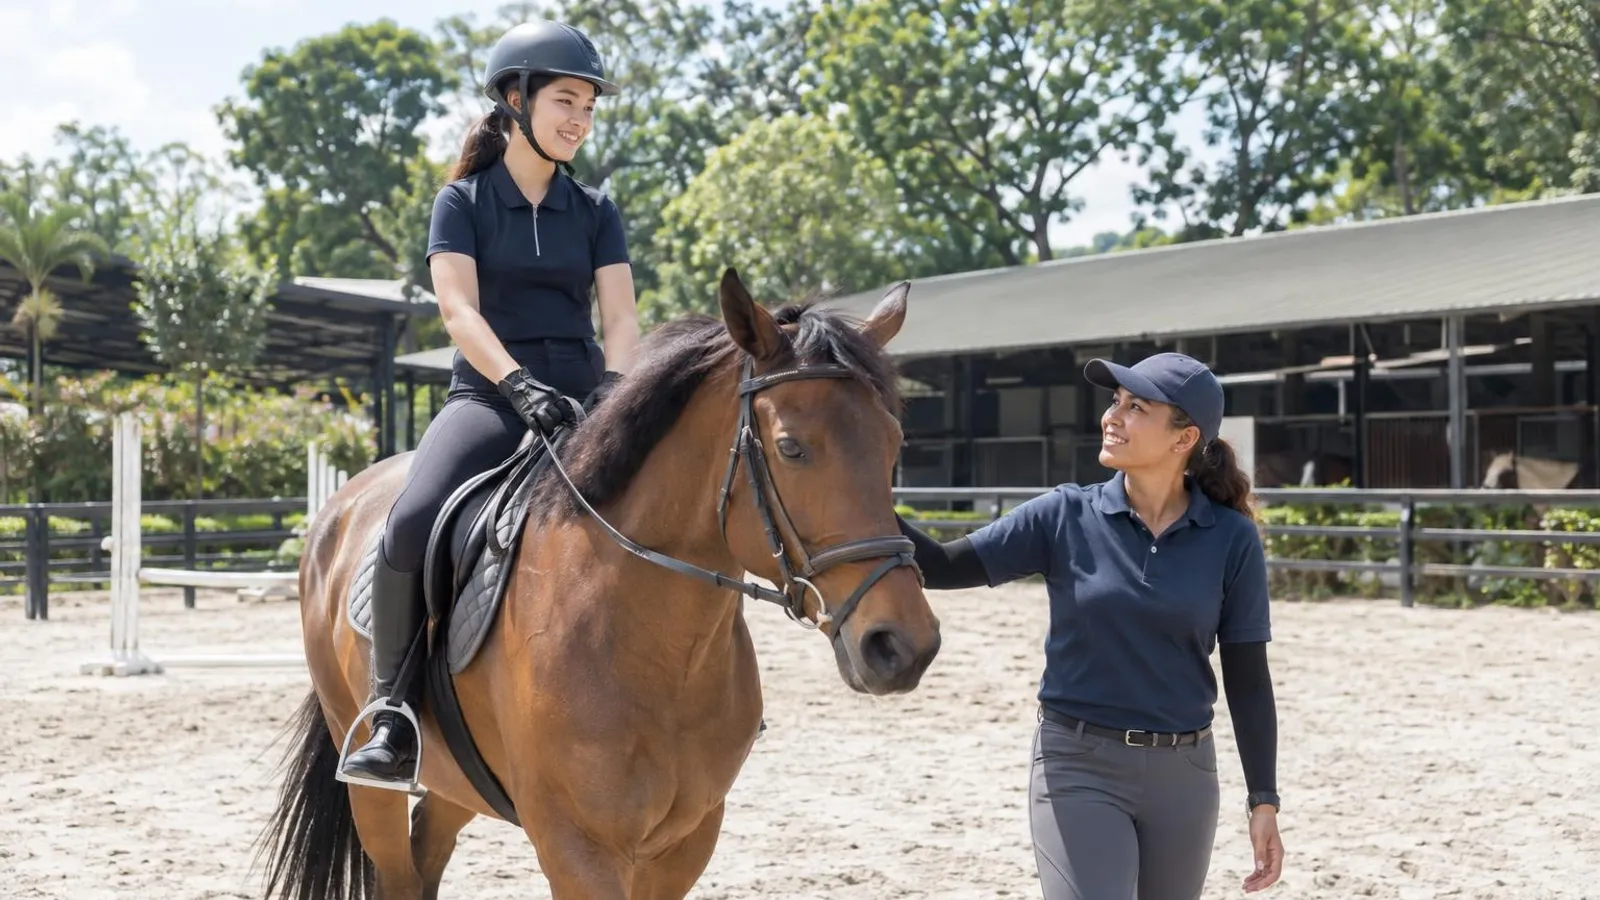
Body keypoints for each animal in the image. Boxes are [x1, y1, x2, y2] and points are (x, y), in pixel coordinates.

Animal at [255, 268, 943, 899]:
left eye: (894, 443)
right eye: (791, 447)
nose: (902, 646)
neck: (655, 647)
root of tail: (341, 507)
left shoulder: (685, 843)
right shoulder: (579, 848)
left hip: (458, 780)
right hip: (369, 779)